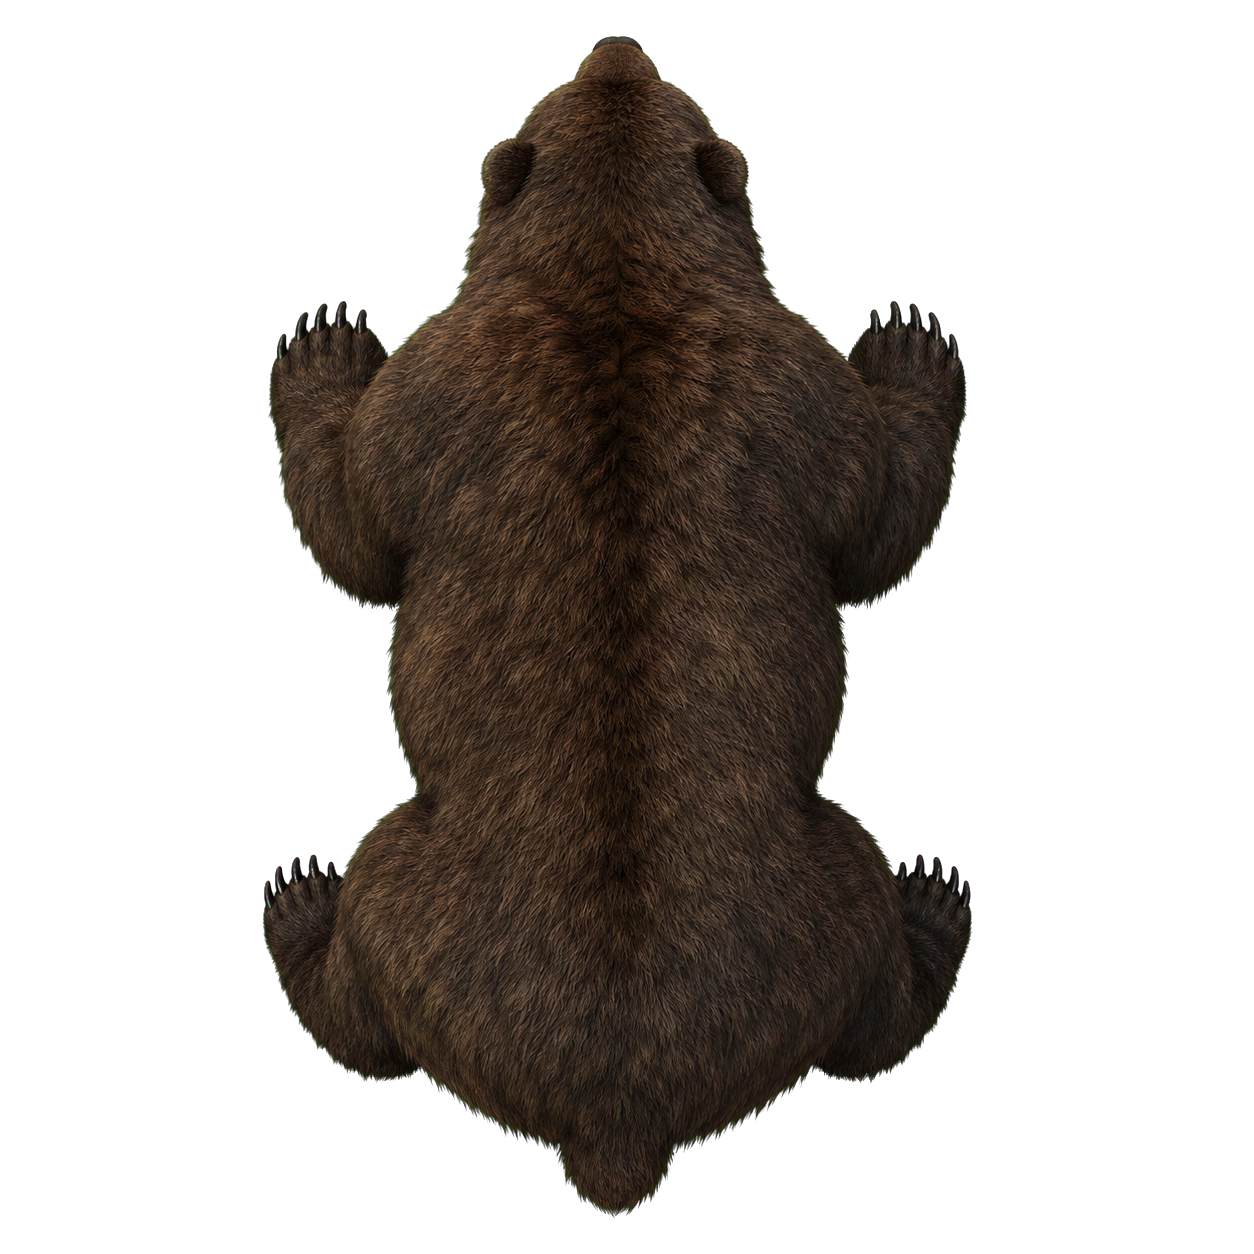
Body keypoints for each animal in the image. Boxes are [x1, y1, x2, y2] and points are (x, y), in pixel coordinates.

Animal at [262, 35, 971, 1213]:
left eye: (664, 99)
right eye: (572, 97)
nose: (617, 49)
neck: (615, 269)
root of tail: (618, 1119)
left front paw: (913, 348)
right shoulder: (460, 368)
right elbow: (356, 527)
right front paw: (320, 347)